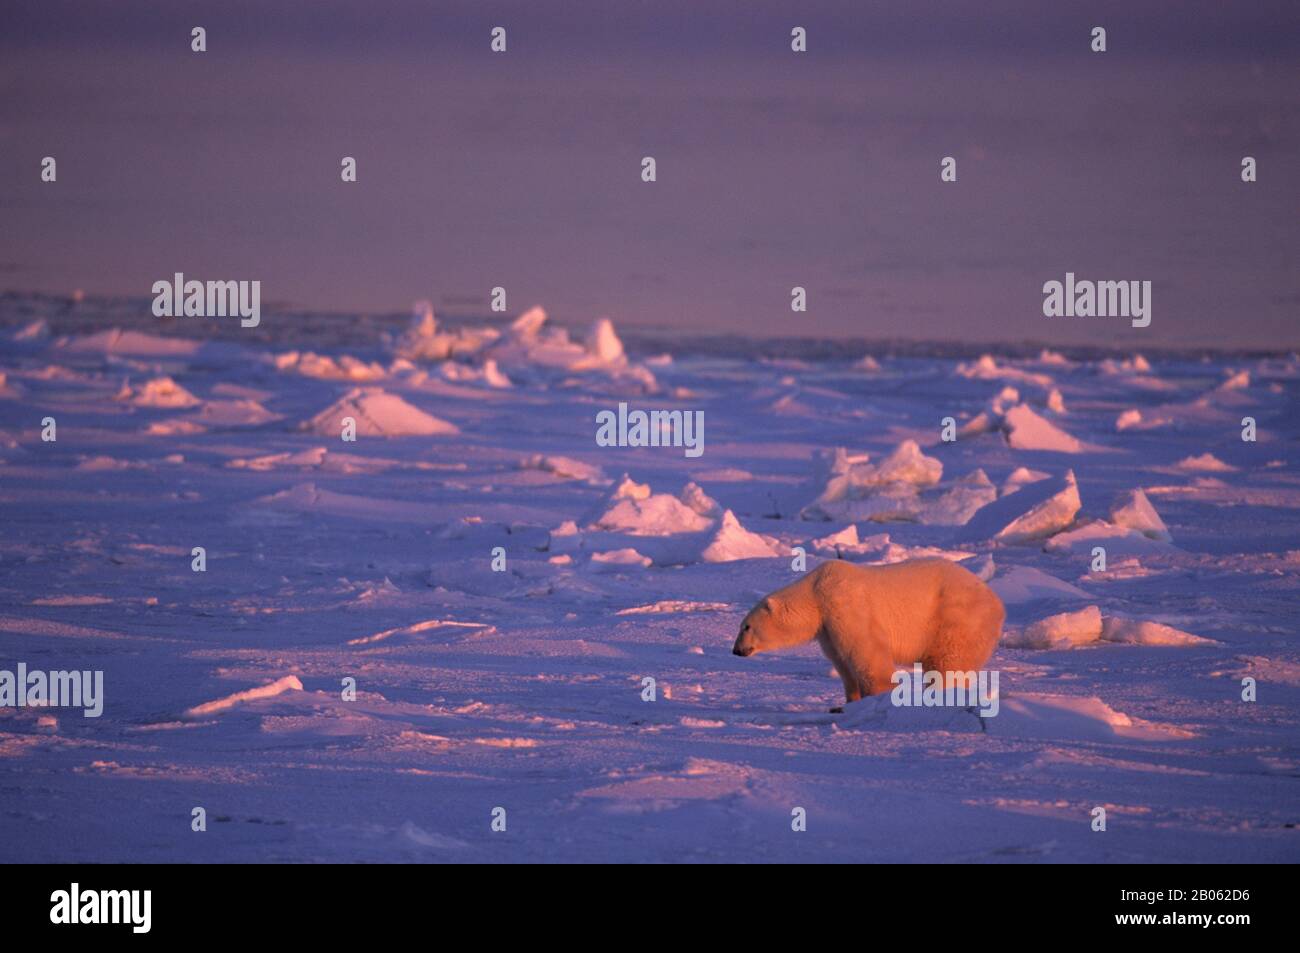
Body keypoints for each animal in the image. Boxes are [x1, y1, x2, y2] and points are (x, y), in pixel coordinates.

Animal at [732, 558, 1004, 708]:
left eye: (746, 626)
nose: (736, 650)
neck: (815, 592)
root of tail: (996, 603)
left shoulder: (845, 604)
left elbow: (866, 651)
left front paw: (878, 695)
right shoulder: (827, 629)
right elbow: (842, 661)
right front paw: (848, 702)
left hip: (956, 619)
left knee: (948, 664)